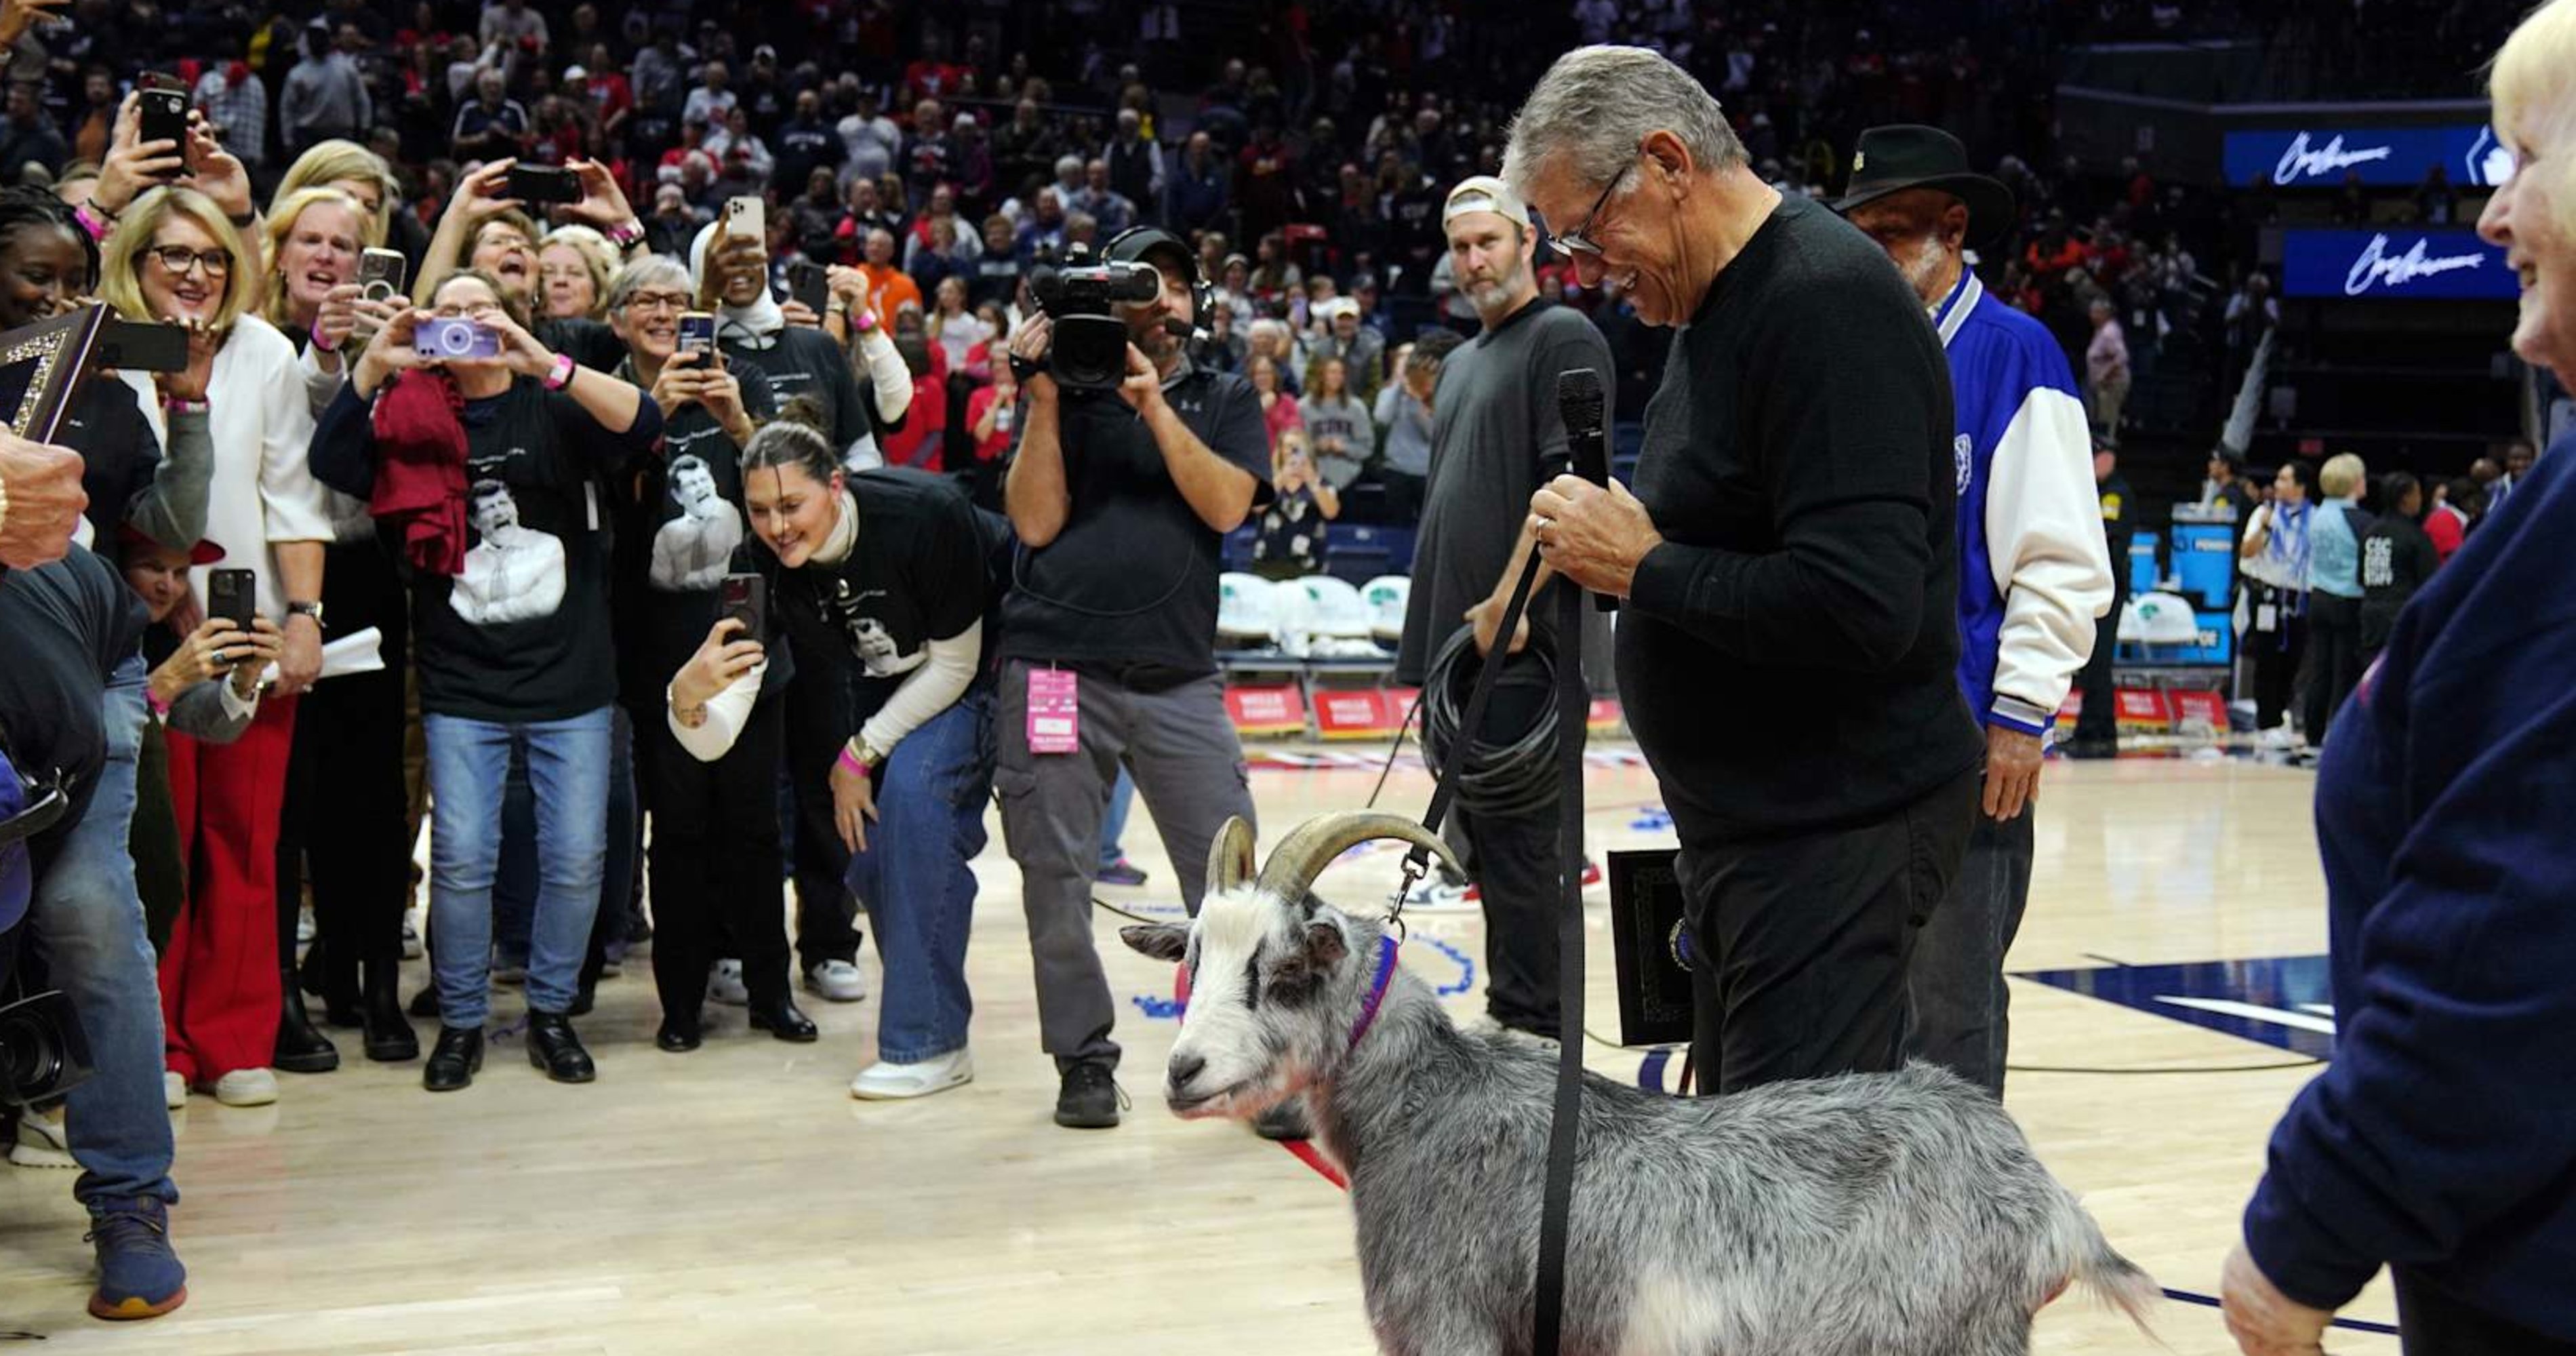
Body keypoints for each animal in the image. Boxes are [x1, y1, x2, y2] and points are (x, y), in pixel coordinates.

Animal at [1123, 820, 2153, 1356]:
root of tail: (2048, 1201)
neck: (1429, 1105)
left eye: (1285, 971)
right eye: (1194, 959)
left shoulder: (1451, 1326)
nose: (1182, 1071)